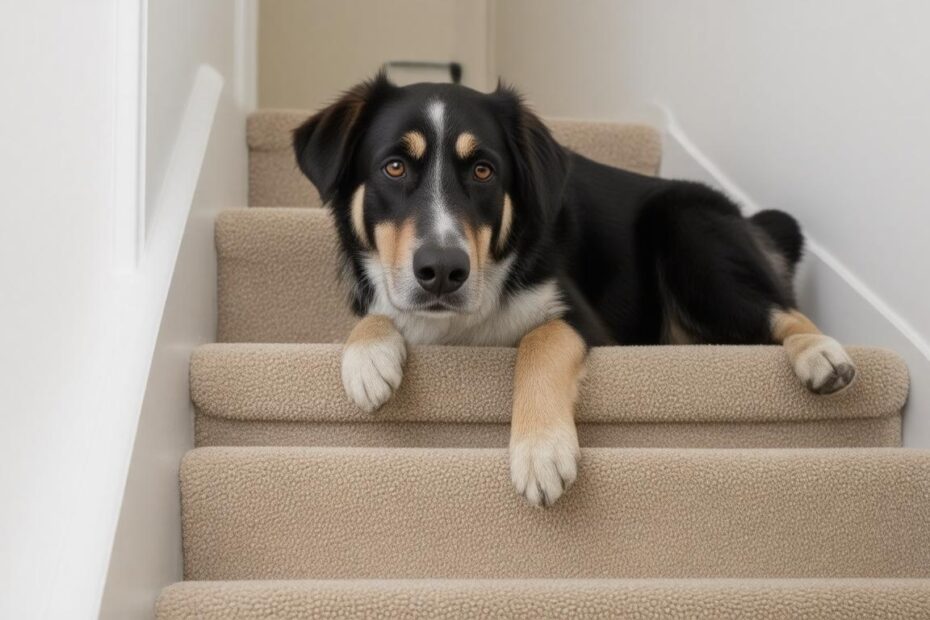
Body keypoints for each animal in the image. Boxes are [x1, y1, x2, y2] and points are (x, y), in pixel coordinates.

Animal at [292, 74, 856, 508]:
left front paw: (540, 451)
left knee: (780, 310)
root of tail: (744, 217)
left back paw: (821, 355)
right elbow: (374, 314)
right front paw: (368, 359)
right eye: (394, 166)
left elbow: (538, 341)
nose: (443, 270)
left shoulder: (584, 320)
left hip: (686, 228)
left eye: (483, 170)